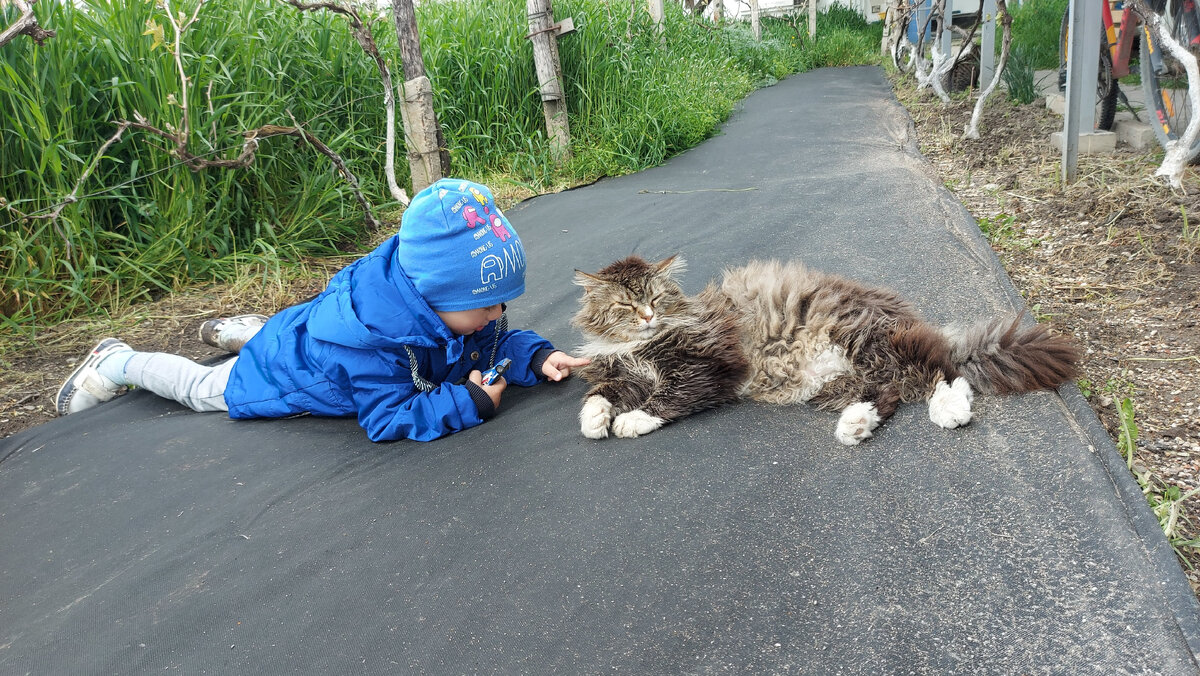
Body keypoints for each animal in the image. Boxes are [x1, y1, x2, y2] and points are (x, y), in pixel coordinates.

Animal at [571, 255, 1080, 444]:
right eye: (625, 304)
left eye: (655, 299)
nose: (646, 317)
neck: (642, 344)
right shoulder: (624, 371)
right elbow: (600, 393)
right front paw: (596, 419)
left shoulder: (705, 365)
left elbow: (668, 396)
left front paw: (630, 421)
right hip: (836, 379)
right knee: (888, 394)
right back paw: (855, 425)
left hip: (863, 339)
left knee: (940, 371)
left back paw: (949, 409)